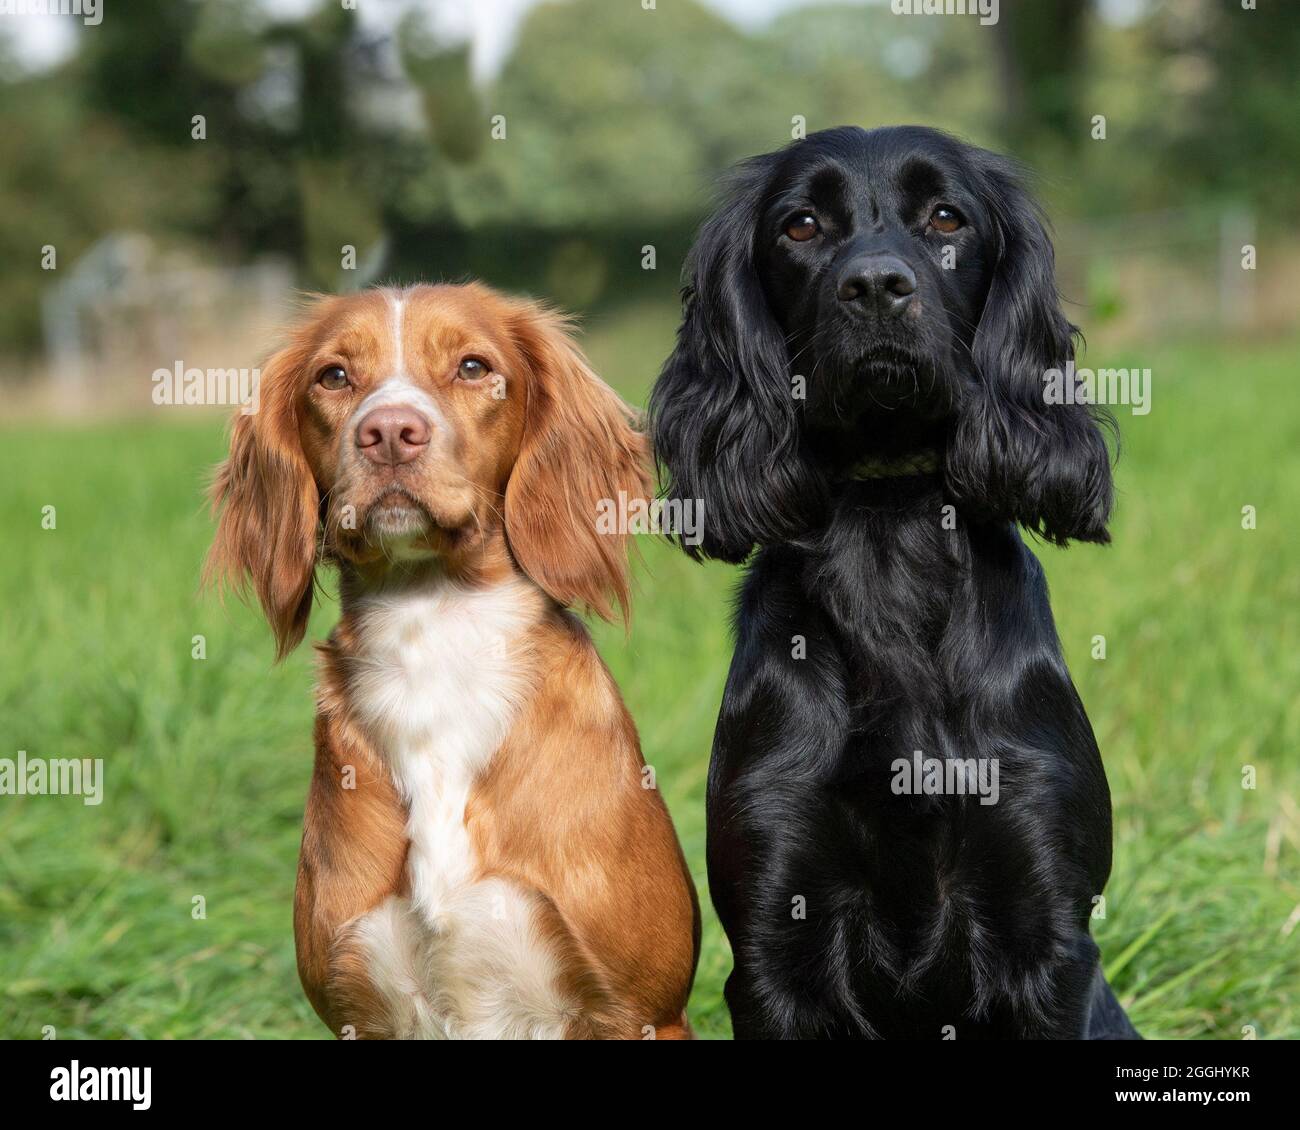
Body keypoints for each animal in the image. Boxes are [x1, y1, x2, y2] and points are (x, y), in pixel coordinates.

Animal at [205, 284, 702, 1040]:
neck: (431, 640)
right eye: (333, 376)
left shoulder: (642, 1010)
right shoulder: (361, 1010)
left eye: (473, 367)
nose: (389, 433)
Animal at [650, 128, 1138, 1035]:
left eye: (947, 217)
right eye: (801, 225)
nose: (876, 286)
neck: (890, 517)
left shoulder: (1047, 933)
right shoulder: (775, 942)